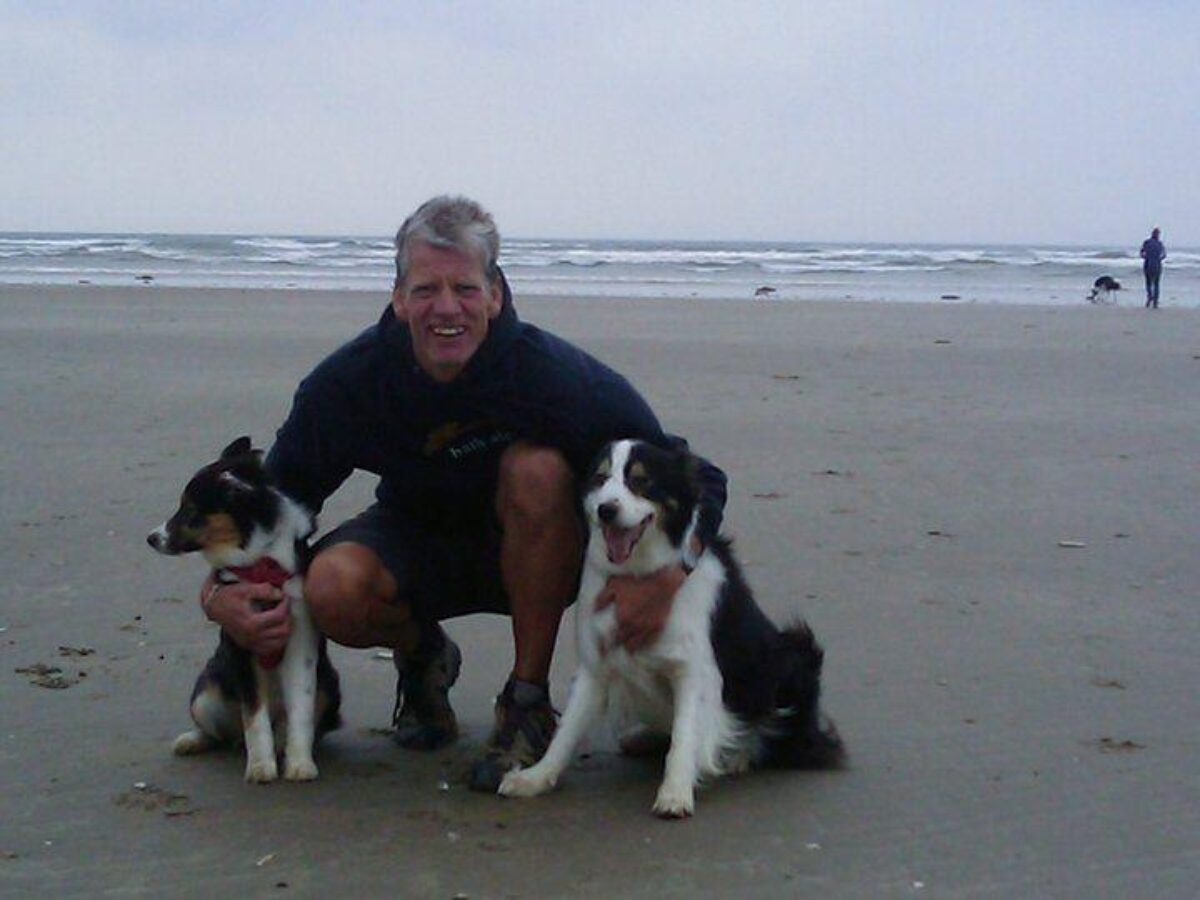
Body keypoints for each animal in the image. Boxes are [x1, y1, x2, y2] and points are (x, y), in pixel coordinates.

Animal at [148, 436, 343, 782]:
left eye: (191, 511)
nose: (151, 538)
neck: (260, 562)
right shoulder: (245, 635)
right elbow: (254, 716)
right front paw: (261, 767)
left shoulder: (301, 641)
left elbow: (302, 708)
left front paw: (300, 763)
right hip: (206, 695)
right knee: (223, 732)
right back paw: (194, 741)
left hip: (330, 687)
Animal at [496, 441, 844, 820]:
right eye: (600, 479)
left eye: (641, 481)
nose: (606, 510)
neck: (638, 574)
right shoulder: (596, 665)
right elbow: (567, 729)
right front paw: (535, 777)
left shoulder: (694, 671)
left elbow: (685, 735)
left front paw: (675, 793)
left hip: (794, 653)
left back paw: (739, 753)